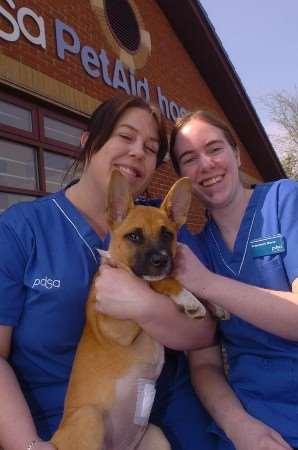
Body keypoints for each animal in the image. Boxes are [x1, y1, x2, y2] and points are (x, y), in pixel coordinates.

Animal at [50, 171, 206, 450]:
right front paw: (188, 298)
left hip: (156, 435)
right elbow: (155, 282)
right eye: (134, 236)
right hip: (89, 416)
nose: (161, 261)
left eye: (167, 235)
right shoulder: (116, 325)